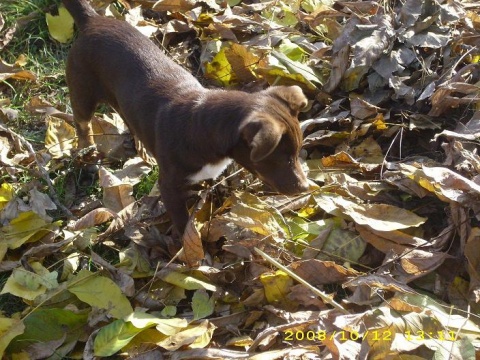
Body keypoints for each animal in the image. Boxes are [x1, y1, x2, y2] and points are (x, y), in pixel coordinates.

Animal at [62, 0, 310, 236]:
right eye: (283, 158)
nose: (306, 188)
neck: (203, 126)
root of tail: (93, 20)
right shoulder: (169, 187)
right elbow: (182, 223)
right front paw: (189, 248)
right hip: (82, 90)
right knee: (82, 124)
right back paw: (88, 155)